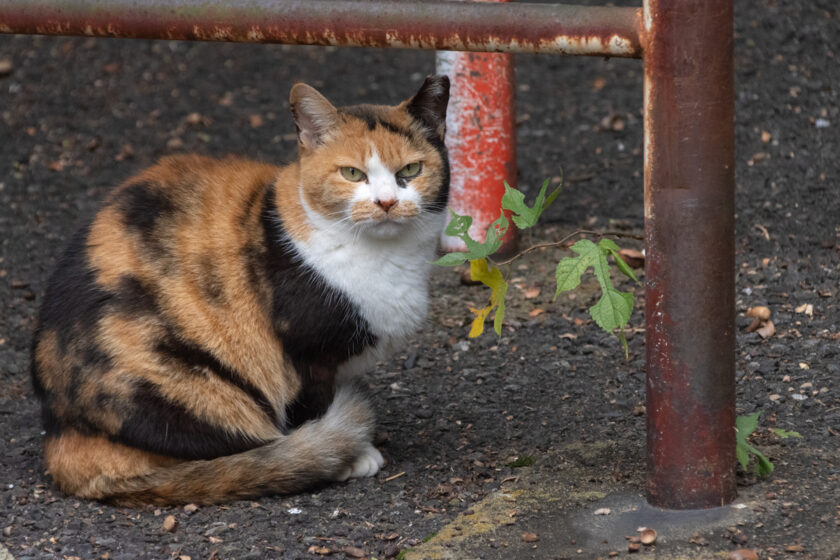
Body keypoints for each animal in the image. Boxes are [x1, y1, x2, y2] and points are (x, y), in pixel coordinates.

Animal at [31, 75, 452, 508]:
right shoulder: (303, 355)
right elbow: (311, 404)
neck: (387, 258)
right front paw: (352, 458)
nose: (386, 202)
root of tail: (61, 436)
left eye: (411, 170)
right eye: (352, 173)